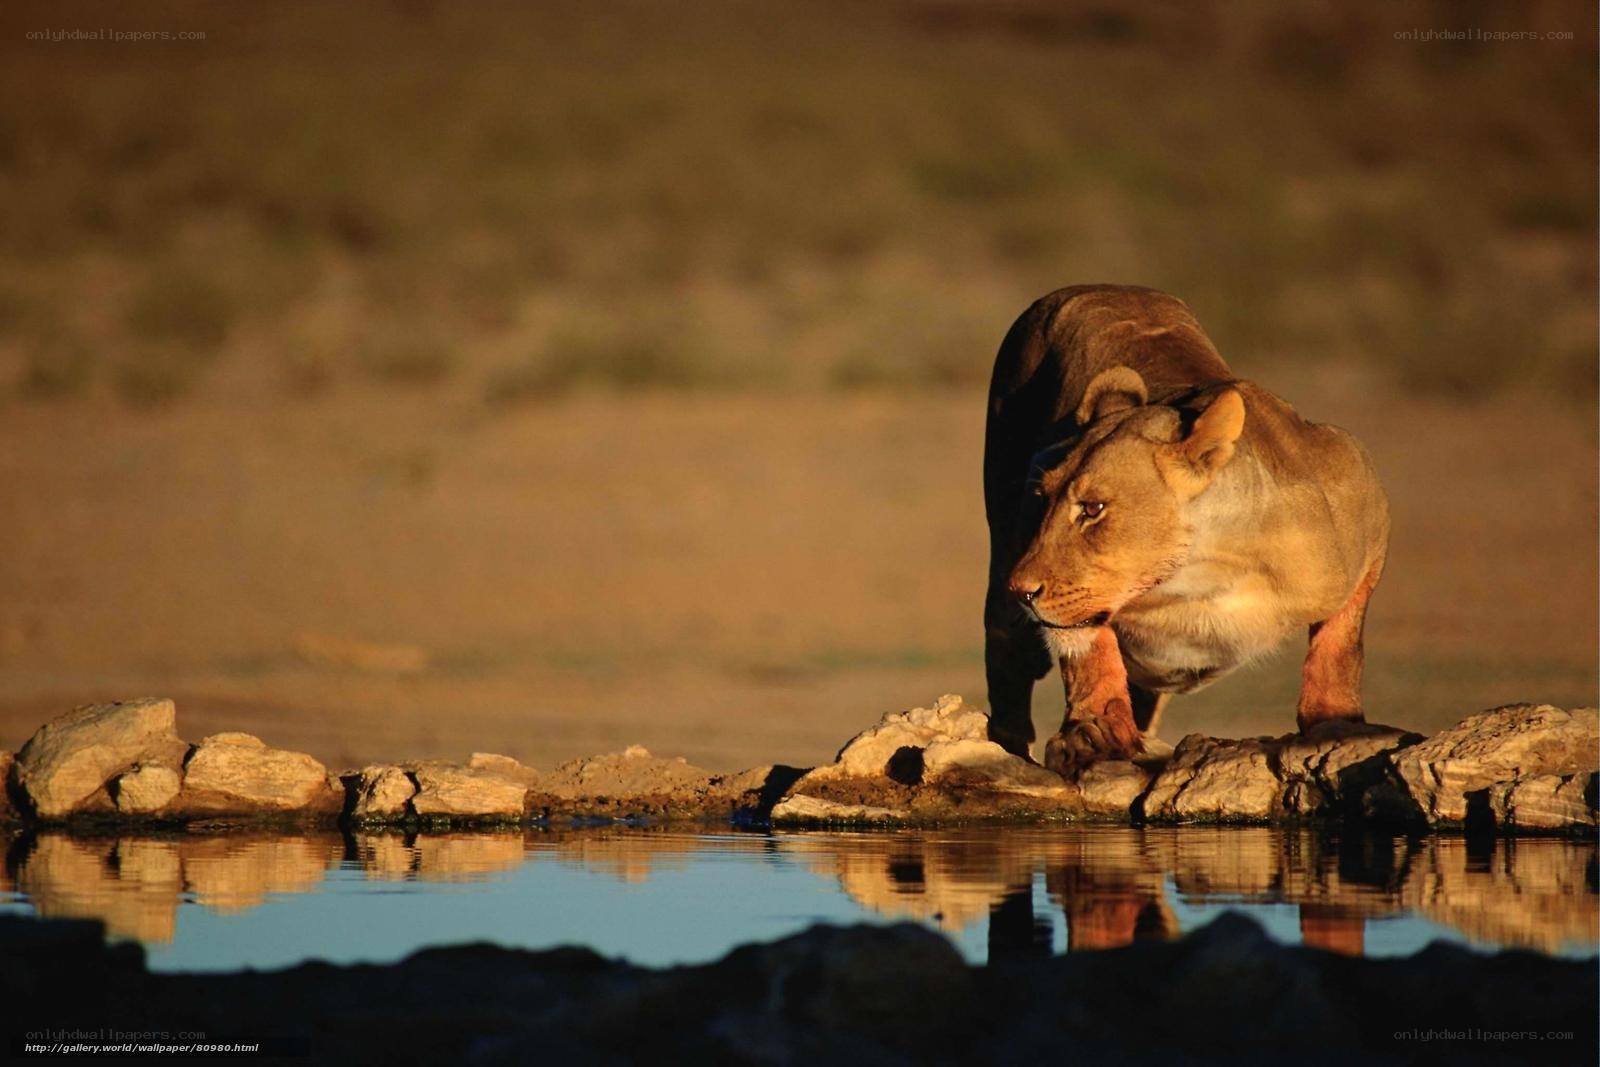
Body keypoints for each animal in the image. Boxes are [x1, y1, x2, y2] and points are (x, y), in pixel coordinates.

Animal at [983, 285, 1390, 777]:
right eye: (1043, 499)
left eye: (1093, 508)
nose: (1022, 590)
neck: (1199, 576)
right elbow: (1089, 649)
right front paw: (1093, 734)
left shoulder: (1363, 501)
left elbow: (1342, 641)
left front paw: (1336, 721)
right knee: (1006, 660)